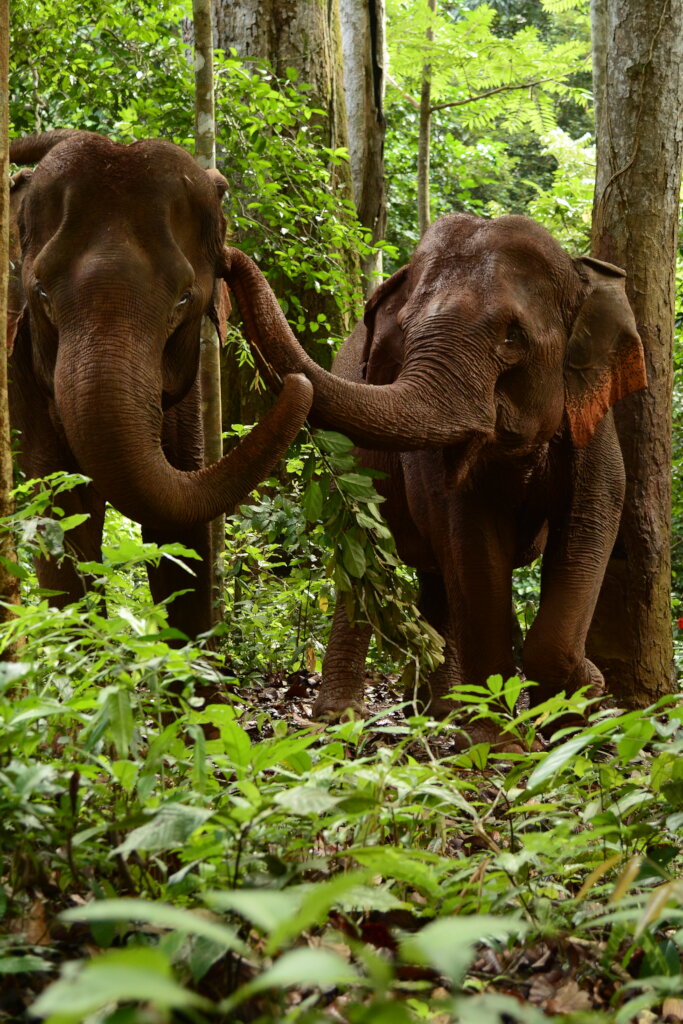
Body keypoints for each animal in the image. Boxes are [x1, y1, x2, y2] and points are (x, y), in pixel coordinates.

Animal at [229, 212, 647, 729]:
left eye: (513, 336)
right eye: (406, 331)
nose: (225, 255)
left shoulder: (592, 424)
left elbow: (591, 525)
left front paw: (573, 709)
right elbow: (472, 544)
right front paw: (509, 734)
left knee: (436, 579)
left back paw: (442, 710)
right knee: (363, 566)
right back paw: (345, 715)